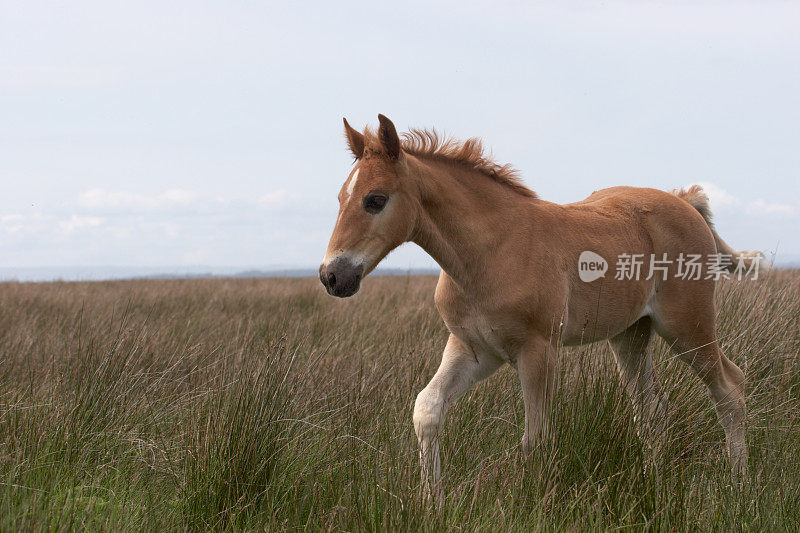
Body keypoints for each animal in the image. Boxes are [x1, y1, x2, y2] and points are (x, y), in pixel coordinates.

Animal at [318, 114, 756, 496]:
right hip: (631, 335)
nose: (331, 276)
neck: (490, 253)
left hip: (687, 326)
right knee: (651, 410)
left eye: (375, 200)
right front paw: (431, 504)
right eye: (339, 198)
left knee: (730, 389)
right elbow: (427, 410)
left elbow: (535, 439)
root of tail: (685, 203)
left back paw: (738, 488)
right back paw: (656, 486)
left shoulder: (537, 351)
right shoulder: (475, 350)